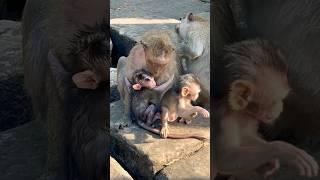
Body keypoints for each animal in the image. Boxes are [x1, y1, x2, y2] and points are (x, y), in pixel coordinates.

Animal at [214, 39, 318, 179]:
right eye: (275, 101)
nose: (281, 108)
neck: (239, 113)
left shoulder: (250, 119)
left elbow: (247, 136)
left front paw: (271, 160)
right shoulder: (224, 122)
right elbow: (225, 158)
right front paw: (283, 150)